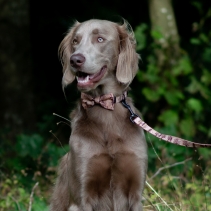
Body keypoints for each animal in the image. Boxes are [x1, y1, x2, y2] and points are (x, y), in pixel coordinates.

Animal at [50, 19, 148, 210]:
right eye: (75, 41)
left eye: (100, 39)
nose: (75, 59)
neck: (104, 105)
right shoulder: (82, 195)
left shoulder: (136, 190)